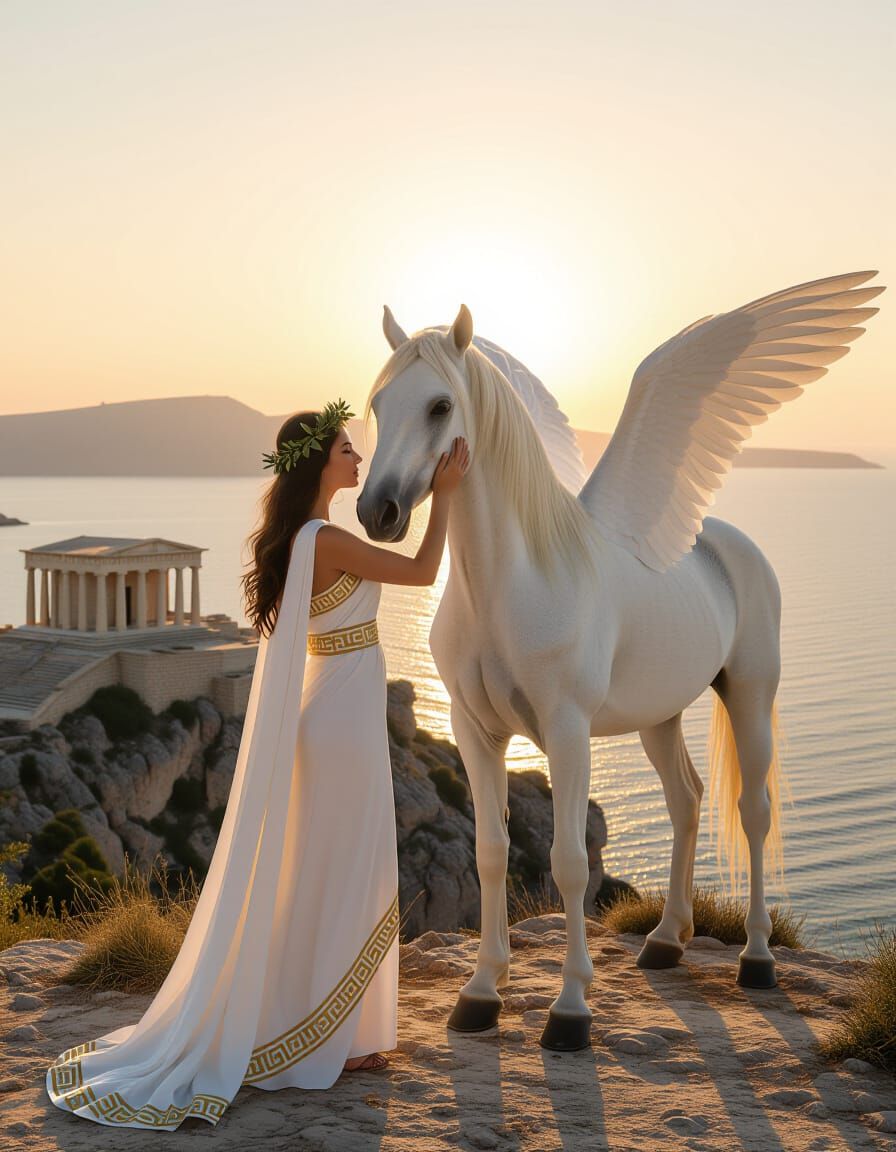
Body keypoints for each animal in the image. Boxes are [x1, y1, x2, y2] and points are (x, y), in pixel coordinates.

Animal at [356, 271, 883, 1051]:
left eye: (440, 405)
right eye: (377, 403)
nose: (378, 512)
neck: (510, 582)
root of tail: (727, 541)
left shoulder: (567, 732)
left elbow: (570, 863)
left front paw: (571, 1008)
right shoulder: (474, 730)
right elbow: (491, 854)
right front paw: (482, 993)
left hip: (751, 694)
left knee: (751, 812)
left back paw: (757, 959)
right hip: (658, 715)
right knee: (687, 800)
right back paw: (665, 942)